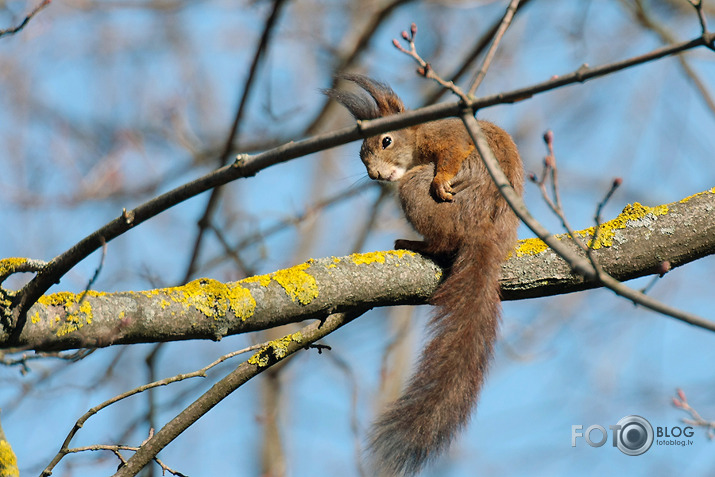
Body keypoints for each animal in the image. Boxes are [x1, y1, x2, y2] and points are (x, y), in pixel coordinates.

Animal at [328, 74, 524, 472]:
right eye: (361, 154)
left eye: (386, 141)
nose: (375, 175)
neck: (417, 135)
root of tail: (484, 232)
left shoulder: (447, 134)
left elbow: (452, 151)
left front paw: (442, 179)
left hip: (416, 191)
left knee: (442, 241)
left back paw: (416, 242)